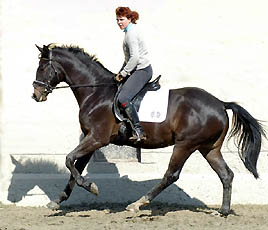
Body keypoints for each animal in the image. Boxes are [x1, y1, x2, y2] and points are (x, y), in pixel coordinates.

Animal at [32, 44, 264, 216]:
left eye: (42, 67)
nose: (36, 95)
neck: (96, 92)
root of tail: (220, 104)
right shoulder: (91, 139)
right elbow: (75, 166)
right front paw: (58, 200)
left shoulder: (97, 138)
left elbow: (69, 160)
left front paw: (90, 186)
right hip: (209, 148)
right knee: (226, 174)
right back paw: (223, 211)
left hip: (186, 145)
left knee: (171, 175)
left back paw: (137, 204)